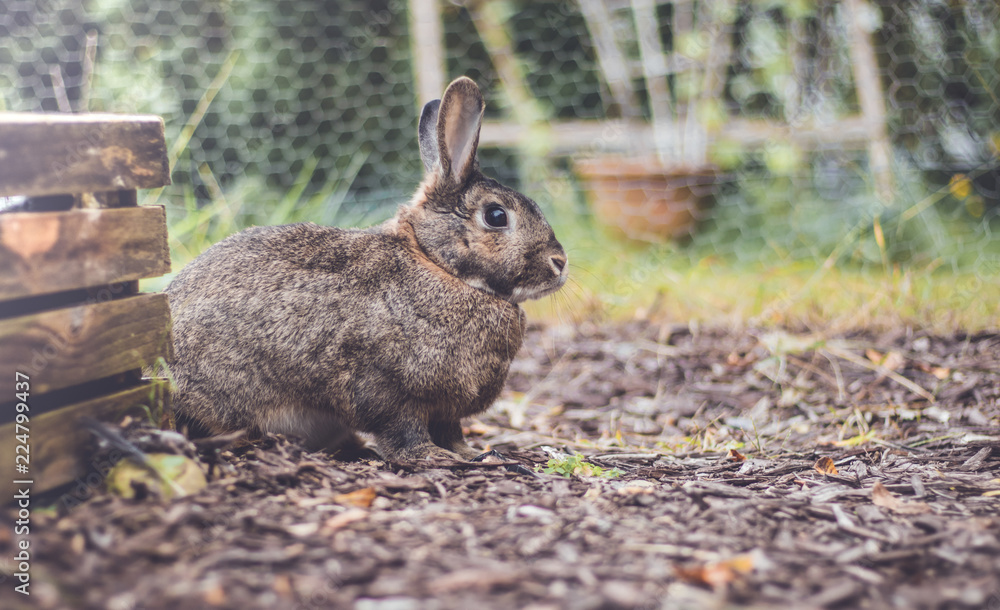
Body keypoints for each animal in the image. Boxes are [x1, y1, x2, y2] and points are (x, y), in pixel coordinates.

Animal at [166, 77, 568, 462]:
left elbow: (451, 431)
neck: (436, 264)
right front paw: (432, 457)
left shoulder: (445, 410)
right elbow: (402, 429)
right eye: (496, 216)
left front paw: (474, 454)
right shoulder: (385, 388)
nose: (560, 263)